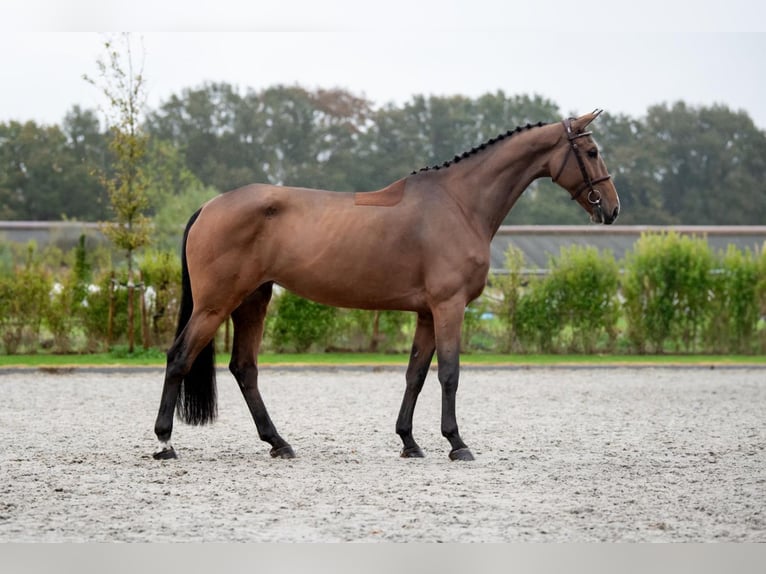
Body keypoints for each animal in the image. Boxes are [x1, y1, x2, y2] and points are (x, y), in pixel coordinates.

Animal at [153, 111, 620, 464]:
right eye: (591, 152)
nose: (612, 209)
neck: (459, 203)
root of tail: (209, 206)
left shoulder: (427, 313)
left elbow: (415, 374)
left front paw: (409, 442)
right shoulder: (449, 307)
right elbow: (449, 373)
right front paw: (457, 443)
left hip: (254, 298)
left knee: (244, 368)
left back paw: (278, 443)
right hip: (216, 304)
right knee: (179, 357)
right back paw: (165, 442)